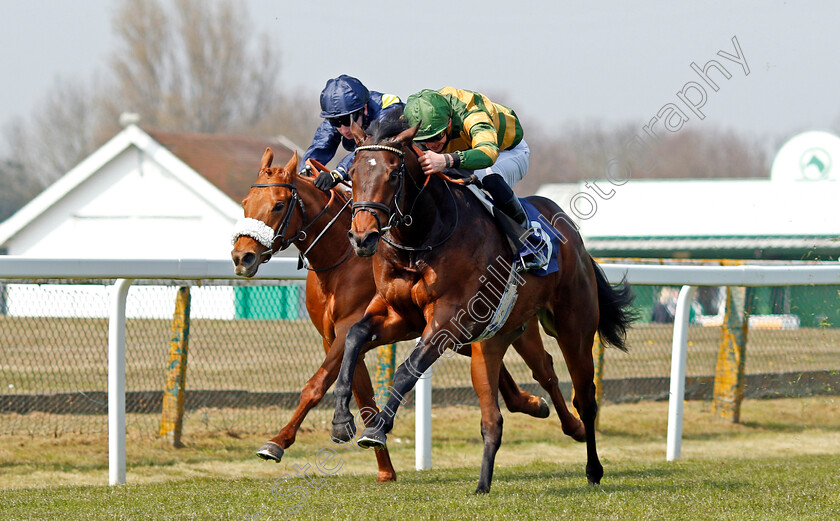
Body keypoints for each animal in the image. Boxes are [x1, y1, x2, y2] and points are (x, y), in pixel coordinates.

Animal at [230, 146, 584, 484]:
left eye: (278, 206)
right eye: (246, 203)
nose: (241, 256)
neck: (342, 258)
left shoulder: (348, 330)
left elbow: (318, 385)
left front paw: (278, 442)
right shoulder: (338, 336)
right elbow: (361, 393)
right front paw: (382, 463)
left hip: (517, 325)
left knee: (545, 370)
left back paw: (575, 424)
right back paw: (532, 404)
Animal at [332, 116, 632, 494]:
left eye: (393, 174)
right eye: (353, 172)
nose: (362, 237)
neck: (421, 239)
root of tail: (574, 237)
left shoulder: (448, 320)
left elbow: (407, 369)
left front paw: (377, 428)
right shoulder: (400, 316)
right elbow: (354, 336)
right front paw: (341, 419)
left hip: (574, 328)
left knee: (585, 398)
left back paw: (593, 467)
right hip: (506, 333)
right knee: (540, 376)